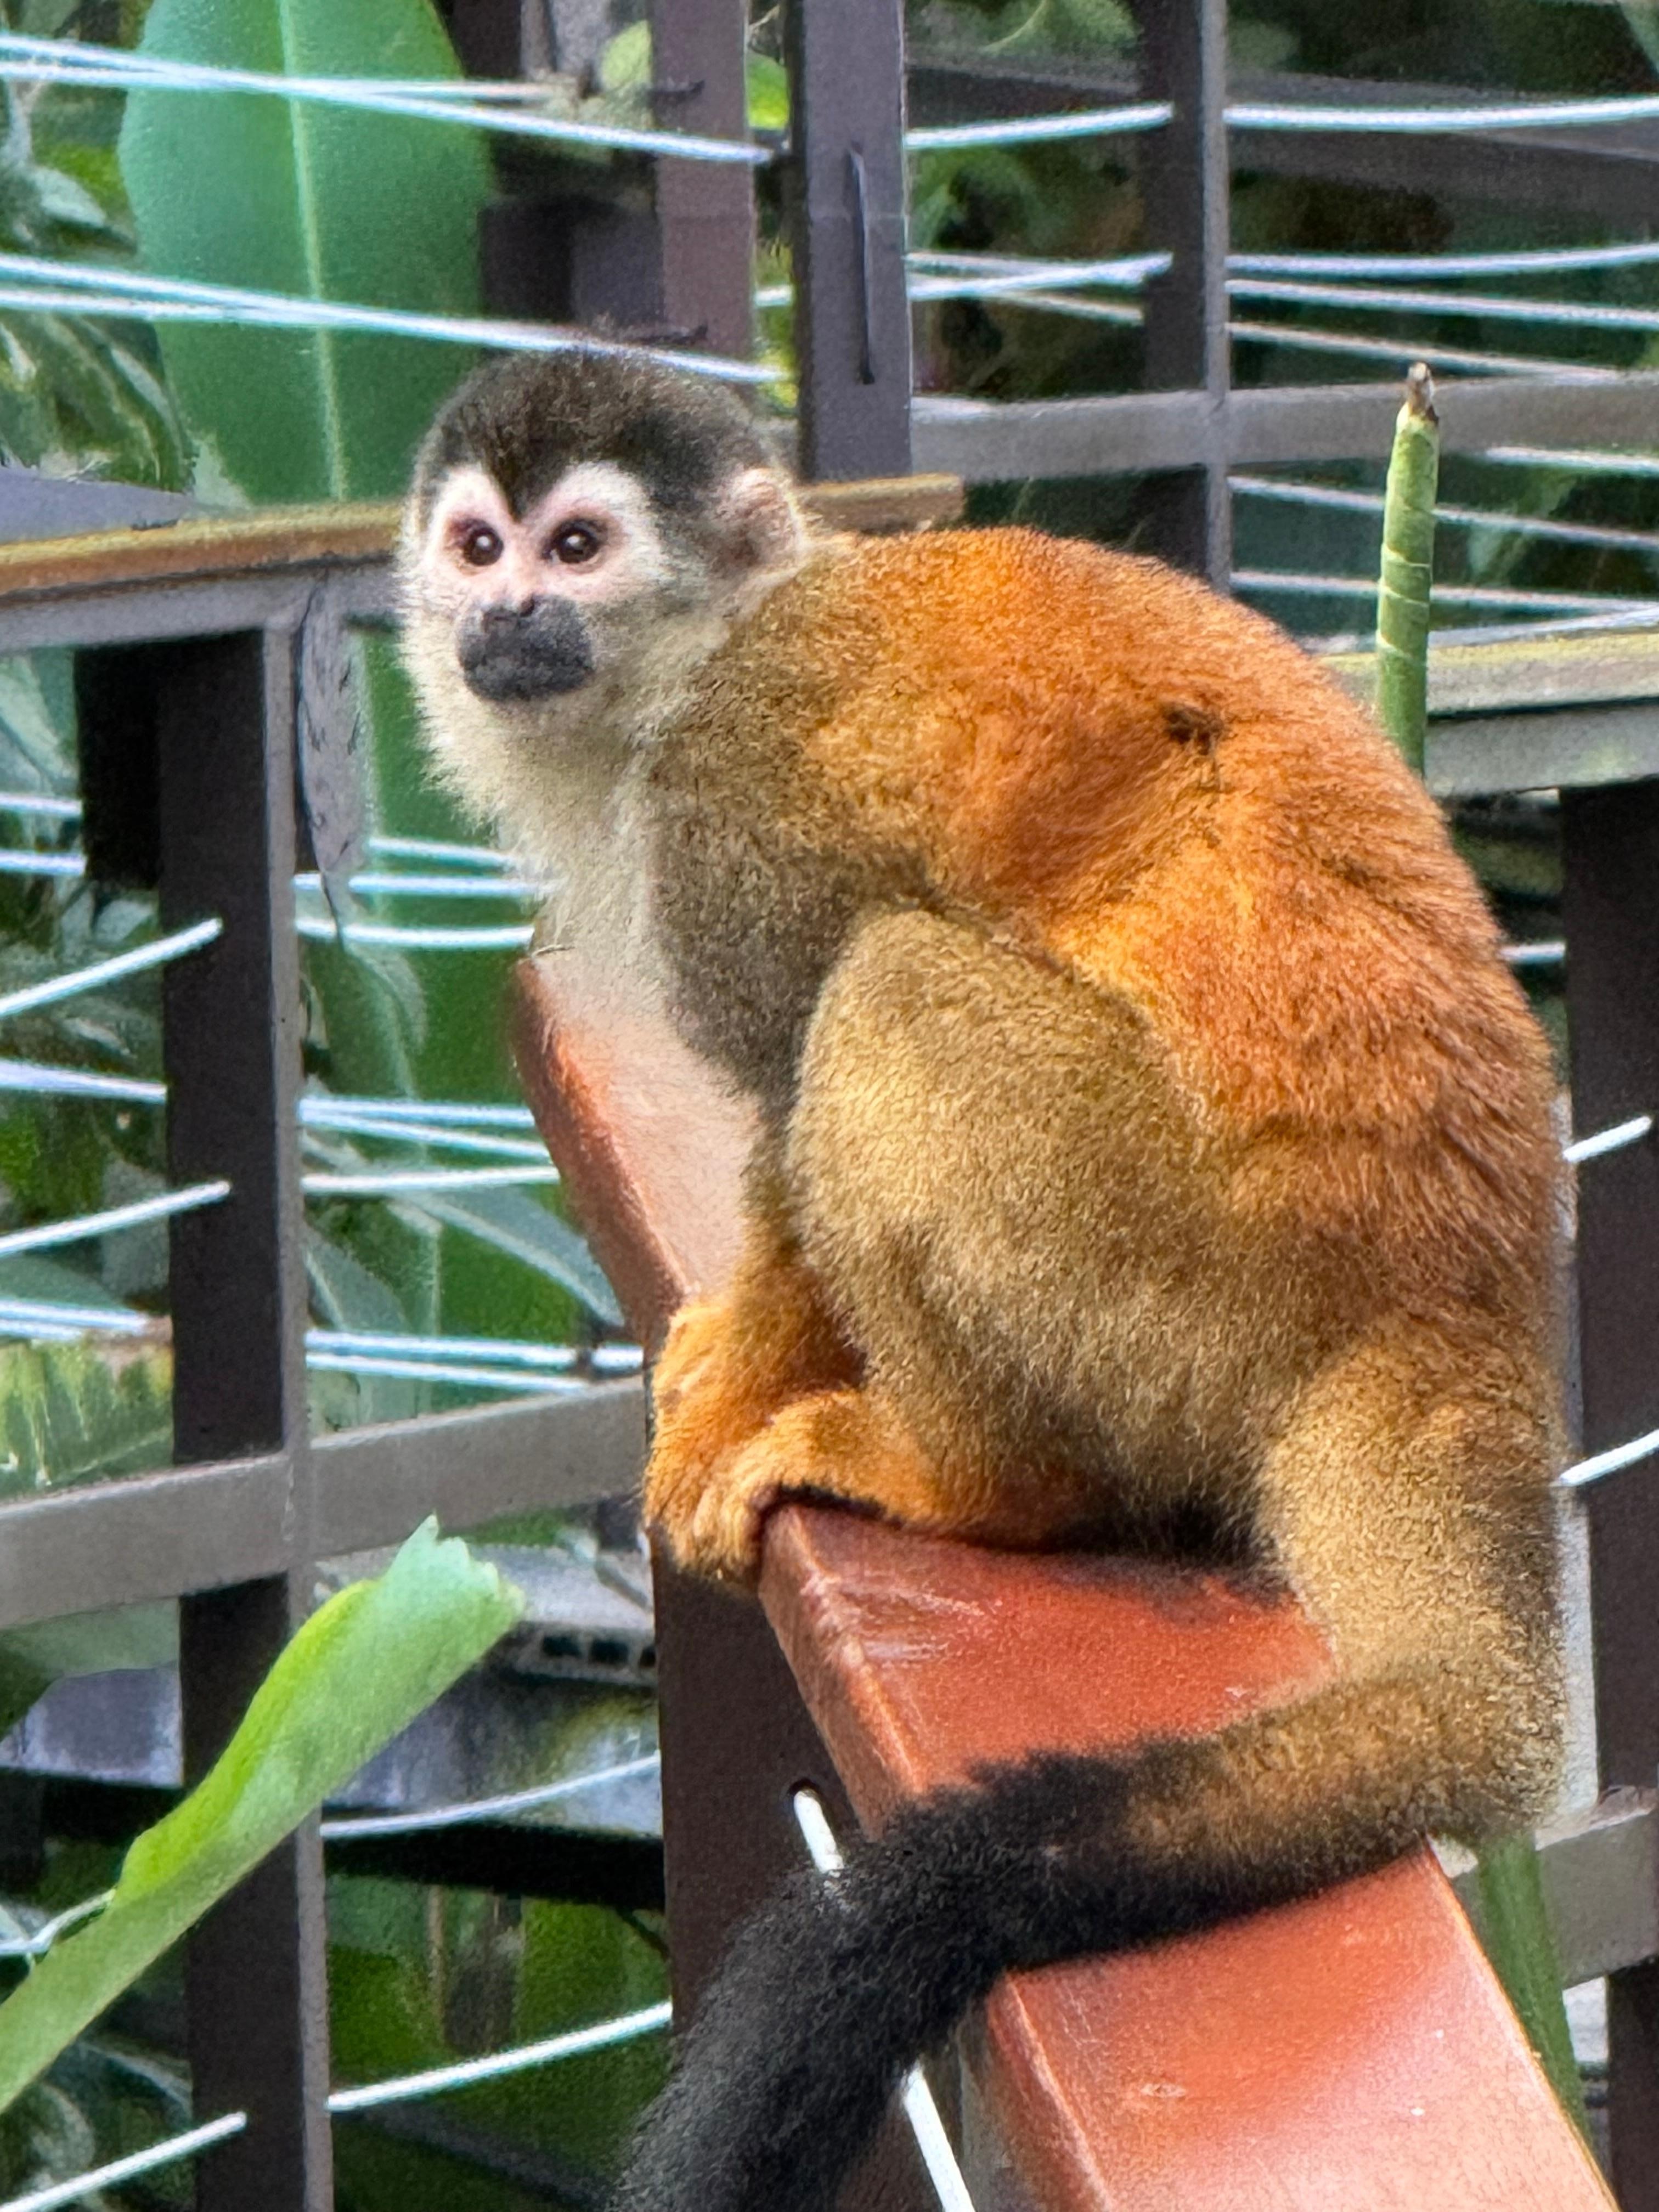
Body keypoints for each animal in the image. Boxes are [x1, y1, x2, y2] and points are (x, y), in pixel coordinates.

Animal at [400, 348, 1567, 2212]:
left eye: (578, 547)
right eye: (480, 543)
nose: (506, 617)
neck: (711, 653)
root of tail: (1452, 1297)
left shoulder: (740, 799)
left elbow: (794, 1044)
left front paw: (745, 1368)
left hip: (1196, 1257)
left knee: (881, 996)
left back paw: (967, 1480)